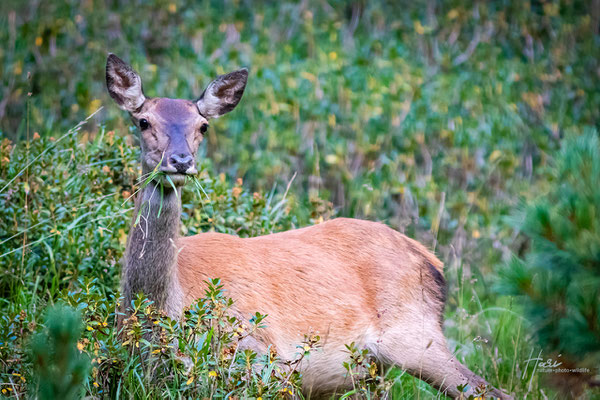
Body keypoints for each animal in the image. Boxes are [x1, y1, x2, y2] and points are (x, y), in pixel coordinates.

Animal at [106, 54, 510, 400]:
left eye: (203, 126)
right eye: (143, 121)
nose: (180, 161)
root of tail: (432, 260)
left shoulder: (264, 356)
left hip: (415, 337)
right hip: (375, 370)